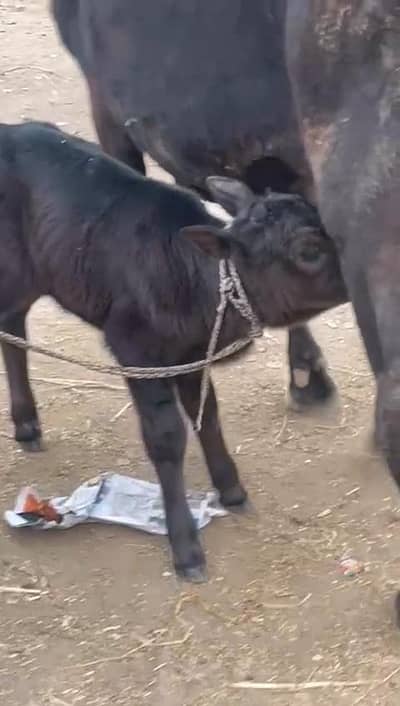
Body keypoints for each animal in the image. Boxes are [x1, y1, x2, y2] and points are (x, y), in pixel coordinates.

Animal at [0, 121, 347, 579]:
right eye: (308, 250)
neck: (196, 277)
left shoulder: (192, 355)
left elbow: (208, 415)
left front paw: (231, 489)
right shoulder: (135, 350)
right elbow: (166, 437)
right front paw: (185, 547)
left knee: (13, 324)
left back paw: (27, 424)